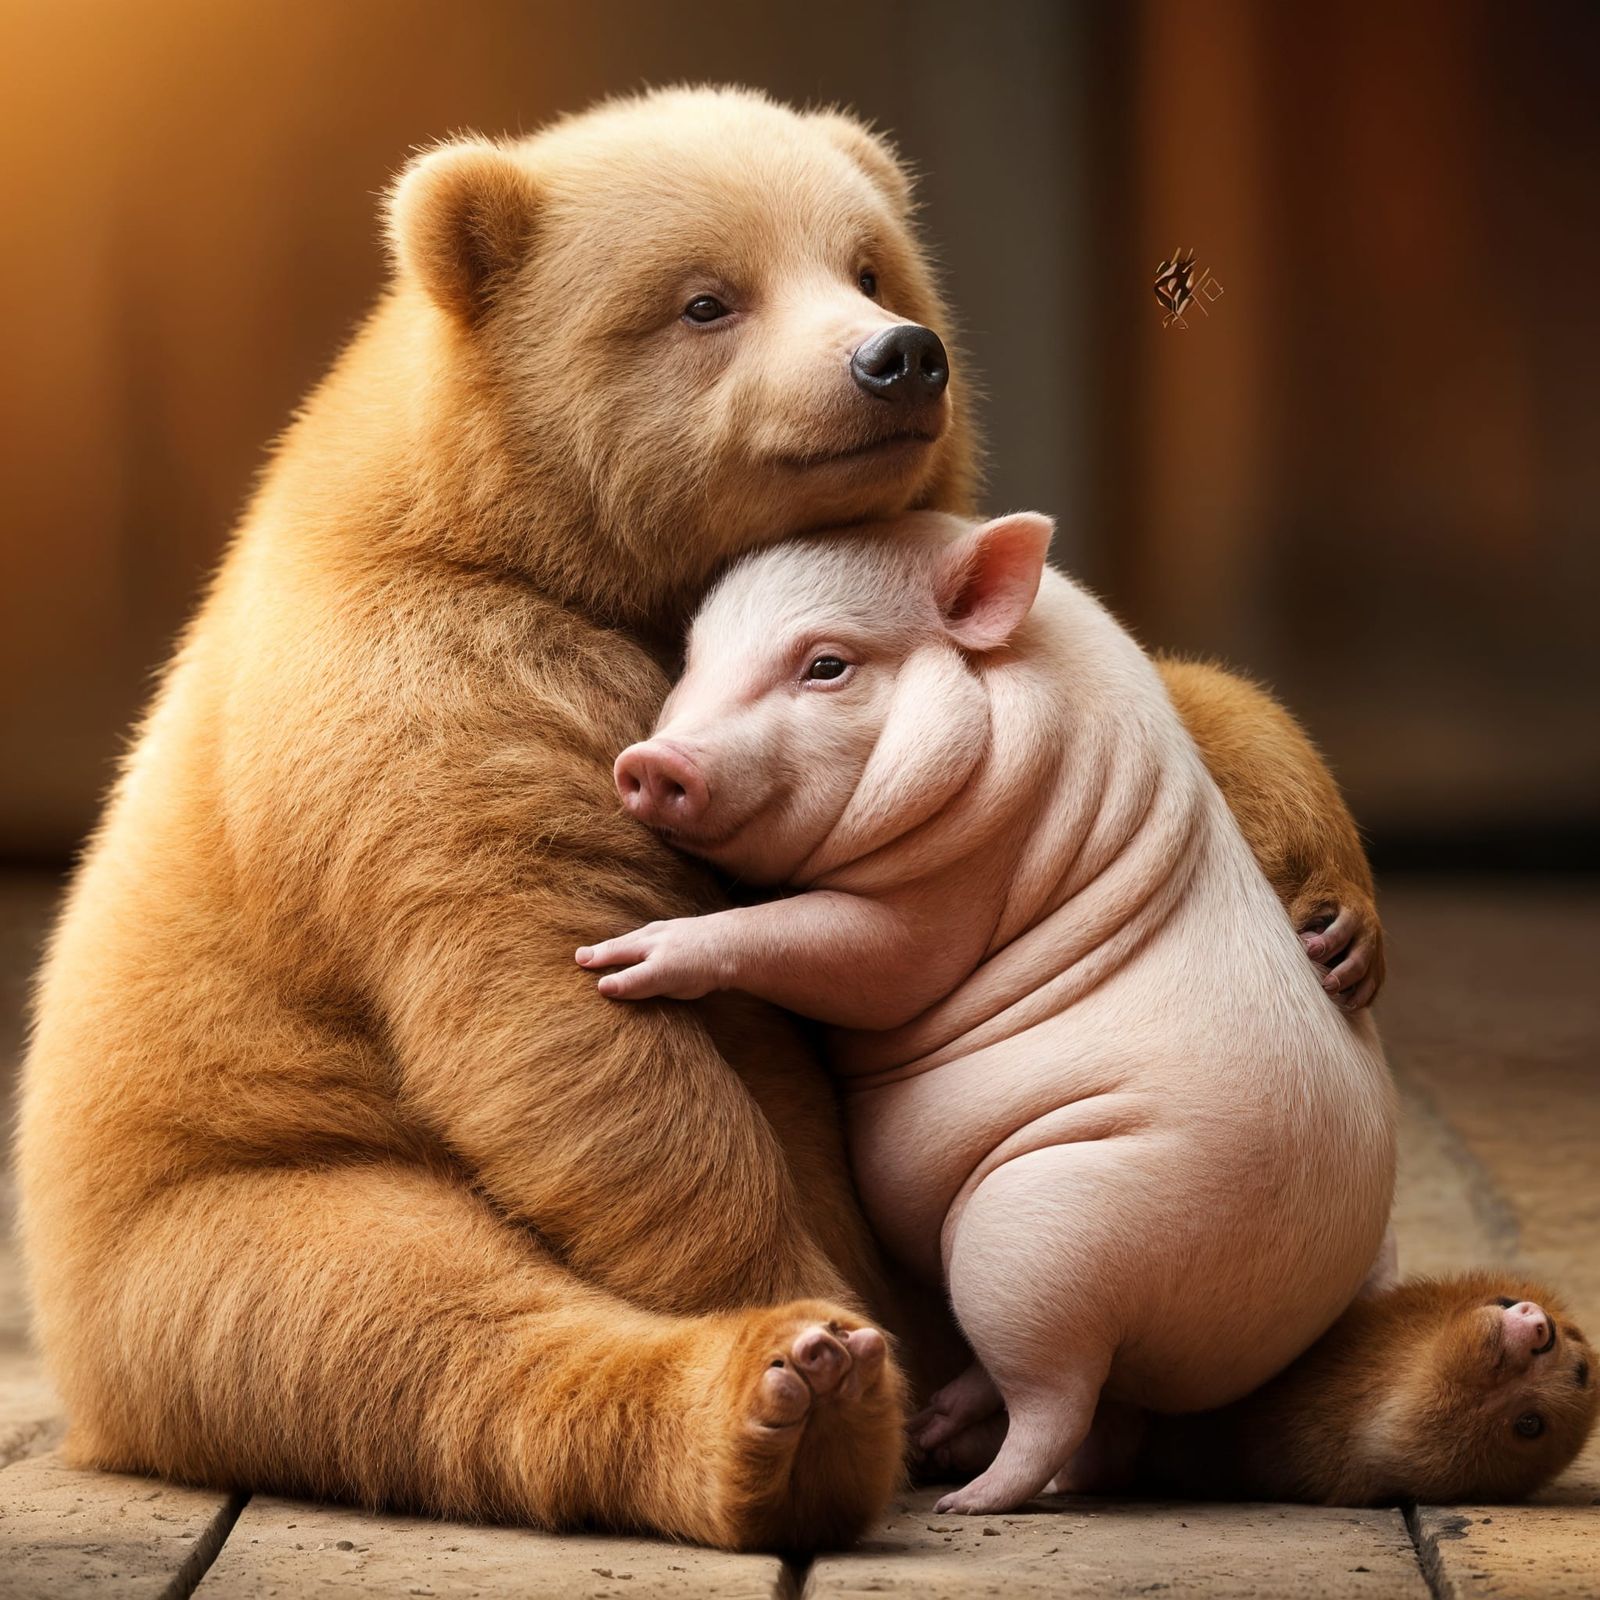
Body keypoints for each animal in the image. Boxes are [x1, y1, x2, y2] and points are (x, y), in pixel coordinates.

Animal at [575, 510, 1397, 1514]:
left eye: (827, 665)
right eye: (692, 656)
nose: (651, 763)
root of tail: (1300, 1293)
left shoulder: (941, 904)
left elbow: (836, 949)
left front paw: (619, 961)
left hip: (1050, 1233)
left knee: (1058, 1397)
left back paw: (971, 1498)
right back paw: (941, 1432)